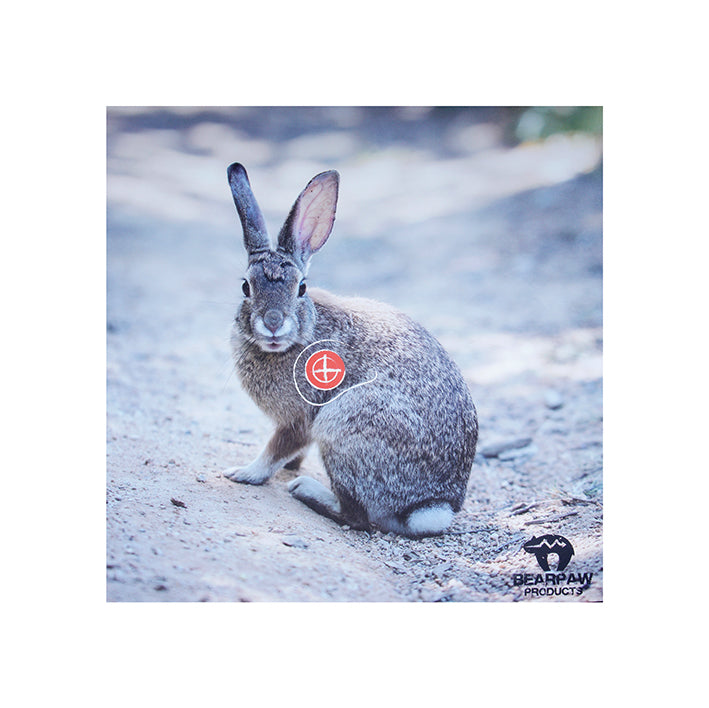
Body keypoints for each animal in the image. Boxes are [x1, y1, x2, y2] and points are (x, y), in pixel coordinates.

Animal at [222, 162, 478, 537]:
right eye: (245, 287)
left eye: (301, 288)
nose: (272, 323)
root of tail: (432, 505)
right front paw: (290, 466)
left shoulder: (301, 418)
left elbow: (276, 449)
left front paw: (244, 473)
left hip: (342, 425)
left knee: (357, 517)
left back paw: (307, 491)